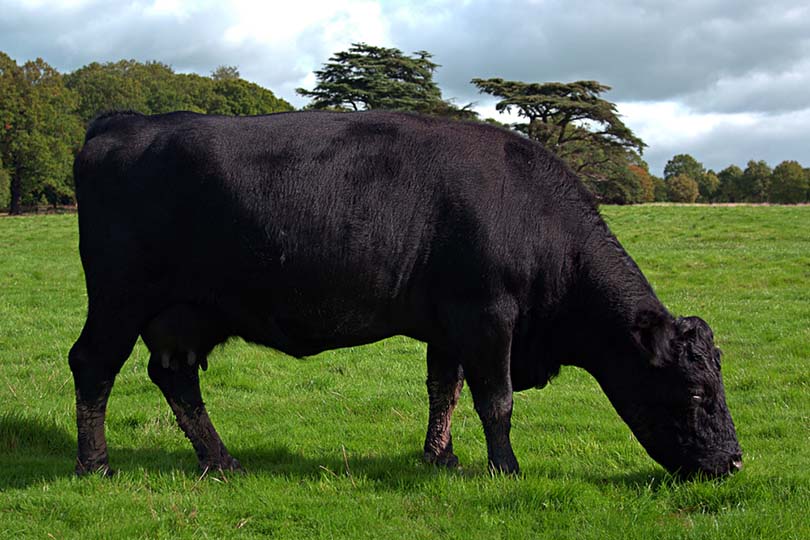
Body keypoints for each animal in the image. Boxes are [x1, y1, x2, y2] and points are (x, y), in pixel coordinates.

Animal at [68, 109, 740, 476]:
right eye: (698, 391)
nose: (734, 462)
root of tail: (124, 123)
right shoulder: (488, 316)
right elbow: (496, 400)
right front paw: (506, 468)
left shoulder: (450, 326)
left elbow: (445, 390)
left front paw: (440, 457)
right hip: (118, 299)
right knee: (92, 365)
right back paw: (96, 463)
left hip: (182, 317)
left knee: (175, 377)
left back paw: (220, 460)